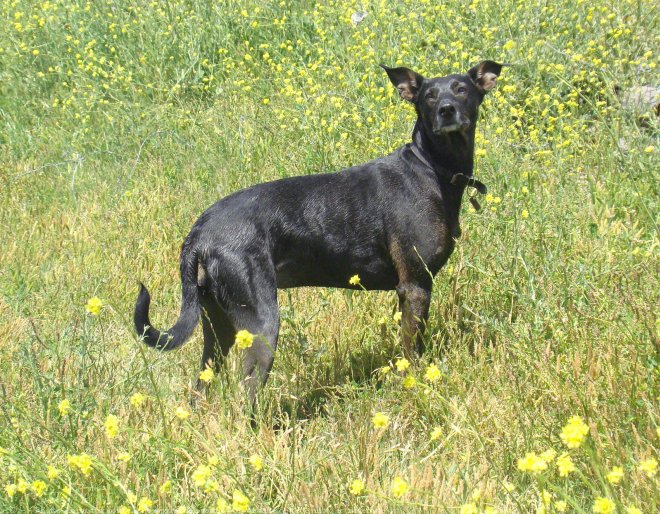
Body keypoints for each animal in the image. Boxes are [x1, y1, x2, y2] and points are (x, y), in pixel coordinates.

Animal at [135, 60, 506, 402]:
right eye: (429, 96)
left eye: (461, 89)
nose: (446, 110)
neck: (430, 167)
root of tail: (200, 231)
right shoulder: (415, 285)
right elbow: (413, 353)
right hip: (260, 322)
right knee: (245, 397)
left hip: (217, 324)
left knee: (200, 390)